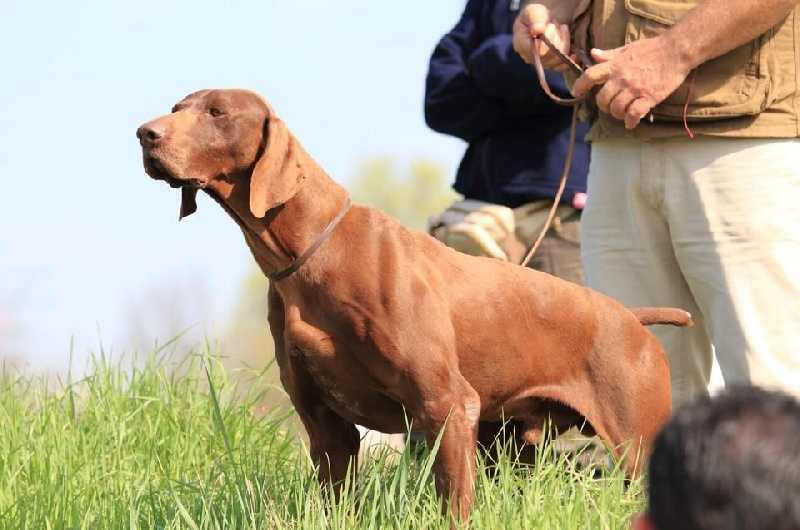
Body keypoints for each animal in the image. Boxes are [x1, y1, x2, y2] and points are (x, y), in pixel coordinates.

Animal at [138, 88, 688, 516]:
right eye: (177, 106)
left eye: (217, 112)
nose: (145, 133)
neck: (311, 253)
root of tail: (632, 317)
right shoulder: (326, 426)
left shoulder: (448, 406)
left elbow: (455, 506)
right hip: (508, 442)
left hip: (635, 444)